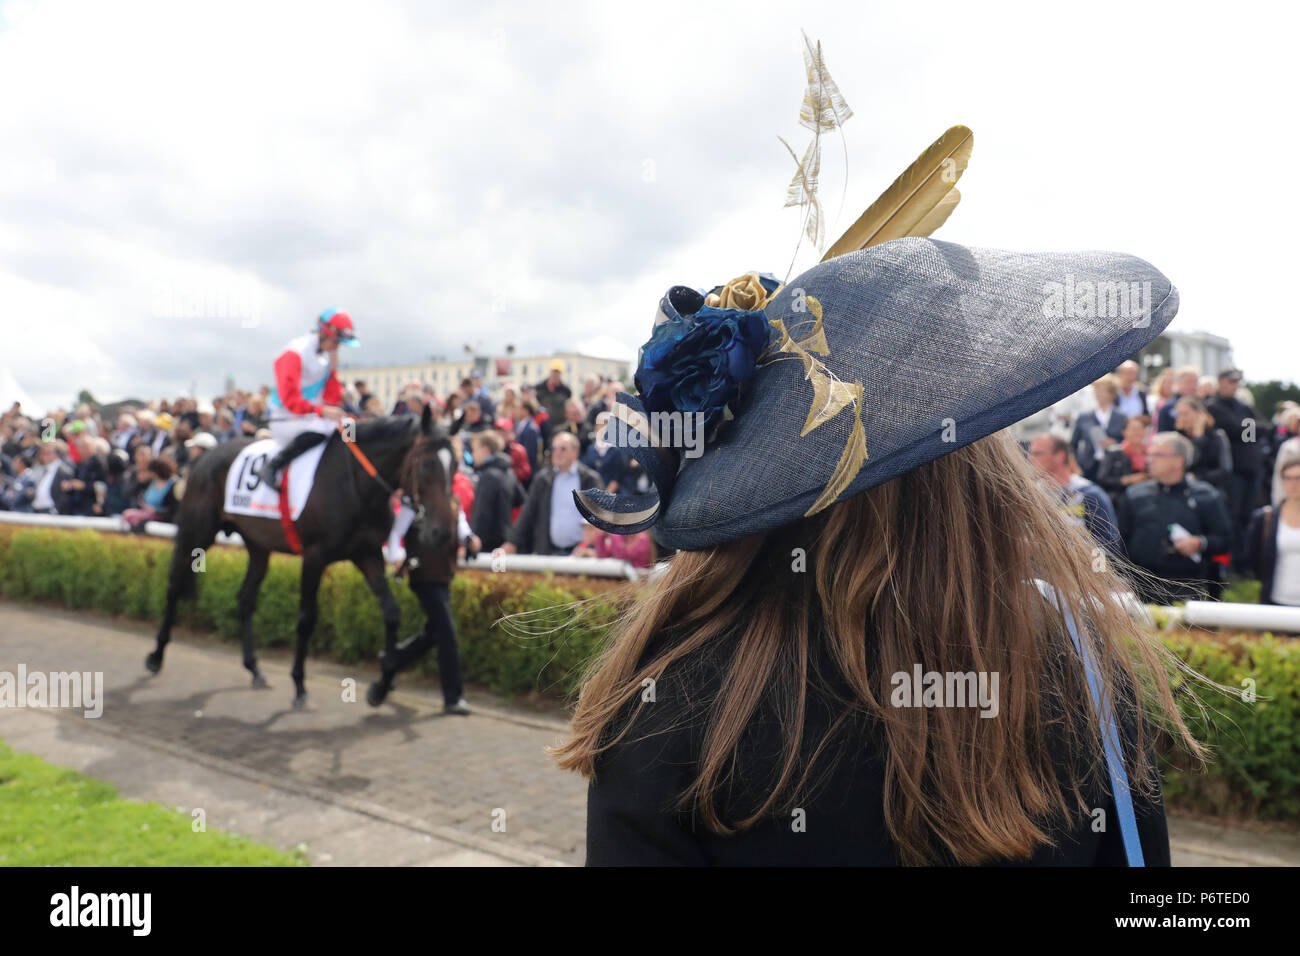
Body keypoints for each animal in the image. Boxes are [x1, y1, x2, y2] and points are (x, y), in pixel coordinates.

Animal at [146, 405, 457, 712]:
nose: (442, 532)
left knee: (245, 598)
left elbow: (392, 612)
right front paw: (299, 685)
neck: (355, 483)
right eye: (427, 464)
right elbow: (307, 619)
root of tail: (204, 456)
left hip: (258, 544)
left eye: (454, 466)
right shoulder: (315, 556)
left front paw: (382, 685)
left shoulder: (367, 554)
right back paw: (156, 656)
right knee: (174, 585)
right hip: (197, 532)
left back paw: (254, 668)